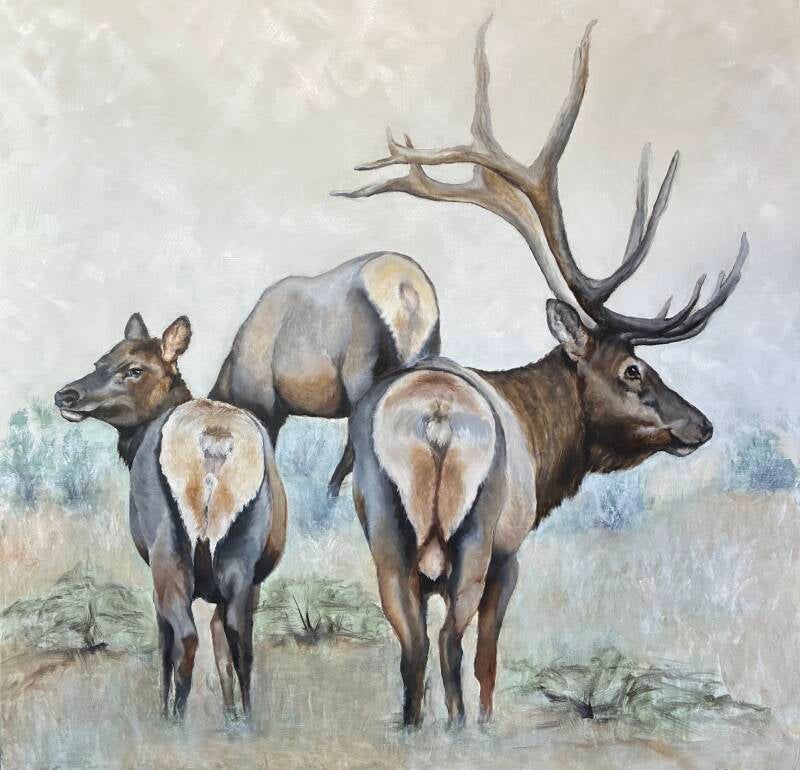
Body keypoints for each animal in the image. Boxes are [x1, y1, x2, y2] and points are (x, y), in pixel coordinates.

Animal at [54, 314, 287, 723]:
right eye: (100, 362)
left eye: (134, 369)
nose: (67, 395)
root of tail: (214, 439)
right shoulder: (251, 581)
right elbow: (224, 647)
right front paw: (230, 715)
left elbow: (166, 643)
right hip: (242, 554)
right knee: (238, 640)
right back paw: (246, 718)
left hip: (169, 550)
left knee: (185, 637)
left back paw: (174, 719)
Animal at [336, 19, 748, 727]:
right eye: (634, 369)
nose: (701, 424)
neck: (542, 436)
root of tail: (435, 418)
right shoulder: (513, 551)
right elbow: (488, 658)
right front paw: (488, 722)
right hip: (477, 536)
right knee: (450, 644)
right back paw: (461, 730)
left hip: (385, 532)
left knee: (411, 644)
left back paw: (415, 727)